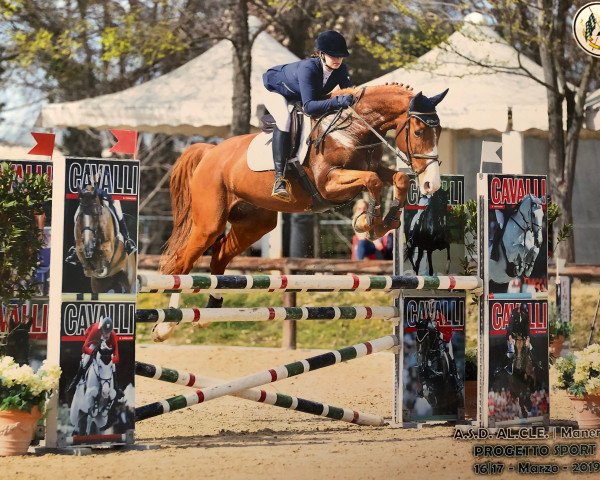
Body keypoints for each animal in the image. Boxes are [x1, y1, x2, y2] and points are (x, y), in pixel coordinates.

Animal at [155, 85, 450, 342]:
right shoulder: (329, 183)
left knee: (218, 258)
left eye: (439, 132)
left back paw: (209, 312)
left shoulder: (373, 168)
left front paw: (386, 221)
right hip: (209, 223)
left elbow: (398, 178)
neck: (353, 131)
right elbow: (373, 182)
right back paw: (165, 326)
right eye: (419, 131)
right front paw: (369, 223)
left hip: (254, 224)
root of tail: (210, 153)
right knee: (182, 263)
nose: (431, 185)